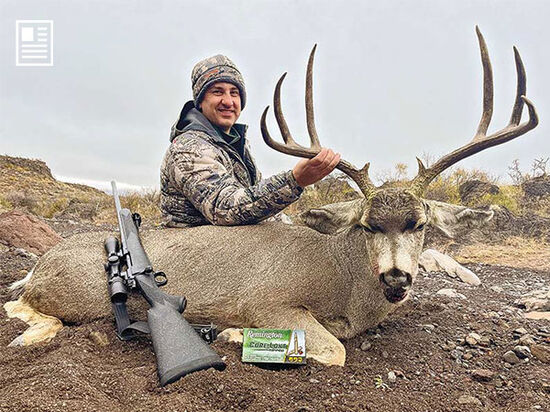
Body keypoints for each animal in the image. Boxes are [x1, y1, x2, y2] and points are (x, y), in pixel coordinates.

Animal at [4, 27, 540, 366]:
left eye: (421, 224)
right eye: (368, 225)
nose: (395, 278)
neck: (341, 283)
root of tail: (42, 261)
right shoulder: (266, 300)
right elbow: (334, 351)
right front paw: (232, 333)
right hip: (74, 294)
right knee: (24, 306)